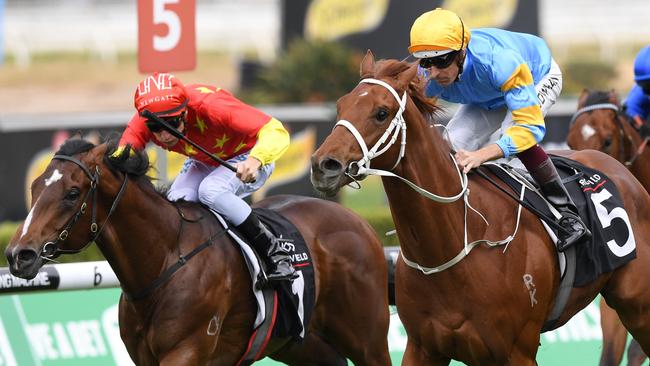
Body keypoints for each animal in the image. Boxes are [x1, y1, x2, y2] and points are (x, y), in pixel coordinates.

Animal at [6, 138, 390, 366]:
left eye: (72, 193)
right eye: (35, 186)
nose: (18, 254)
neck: (164, 260)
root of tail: (359, 222)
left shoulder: (186, 352)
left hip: (367, 338)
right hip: (300, 342)